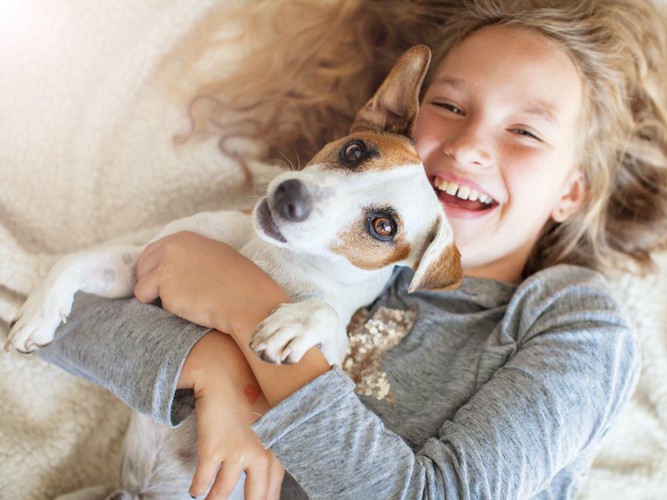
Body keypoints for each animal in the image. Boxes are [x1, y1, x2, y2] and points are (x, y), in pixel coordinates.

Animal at [2, 45, 462, 498]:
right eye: (355, 151)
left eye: (383, 227)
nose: (291, 194)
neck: (271, 256)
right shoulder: (143, 267)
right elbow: (74, 260)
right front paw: (36, 314)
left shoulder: (330, 362)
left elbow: (326, 317)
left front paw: (293, 325)